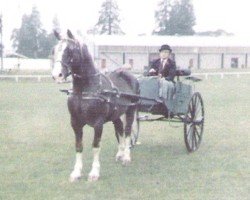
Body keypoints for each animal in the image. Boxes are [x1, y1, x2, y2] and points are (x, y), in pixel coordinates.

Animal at [51, 30, 140, 183]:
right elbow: (79, 146)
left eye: (69, 50)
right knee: (119, 129)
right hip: (116, 114)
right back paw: (120, 153)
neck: (85, 90)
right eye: (55, 50)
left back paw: (126, 157)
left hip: (131, 110)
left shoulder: (98, 124)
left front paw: (94, 173)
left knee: (128, 130)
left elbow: (95, 145)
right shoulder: (75, 123)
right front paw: (76, 172)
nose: (57, 75)